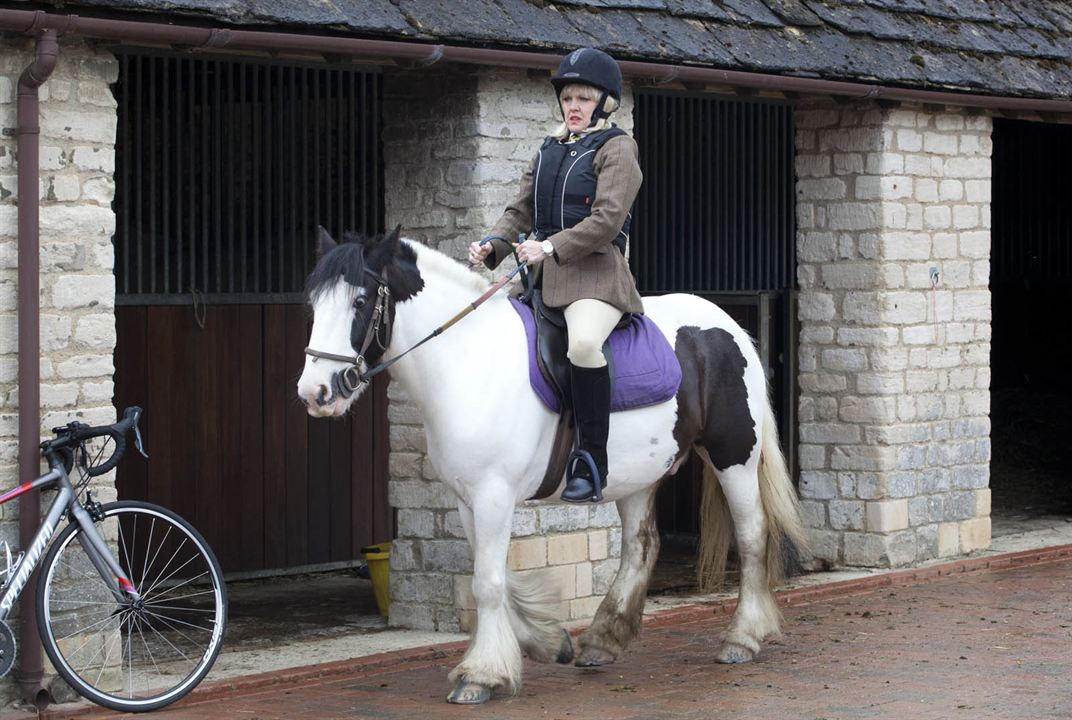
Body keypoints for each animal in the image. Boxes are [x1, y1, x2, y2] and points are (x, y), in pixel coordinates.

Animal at [293, 229, 806, 702]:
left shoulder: (493, 495)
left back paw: (742, 638)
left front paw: (480, 675)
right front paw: (546, 641)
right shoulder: (467, 499)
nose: (315, 393)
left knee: (752, 535)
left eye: (360, 301)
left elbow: (487, 582)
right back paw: (602, 641)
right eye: (314, 304)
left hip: (733, 456)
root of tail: (729, 327)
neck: (467, 360)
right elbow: (494, 574)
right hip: (639, 473)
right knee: (640, 546)